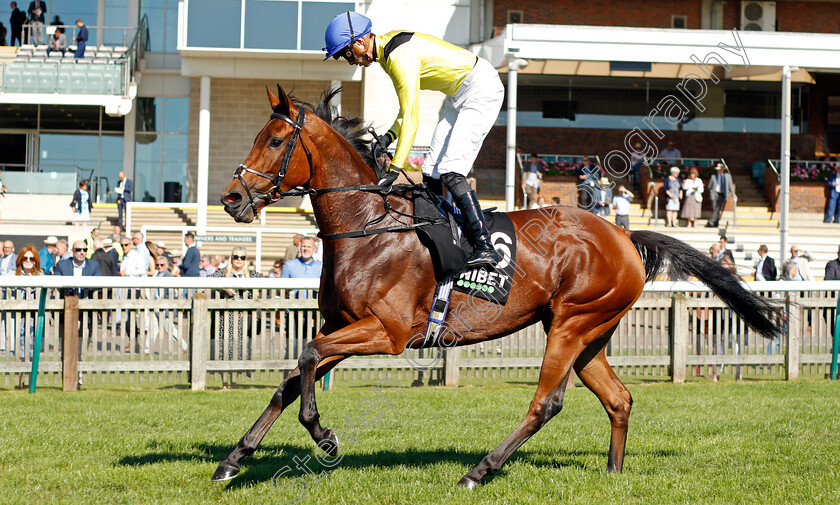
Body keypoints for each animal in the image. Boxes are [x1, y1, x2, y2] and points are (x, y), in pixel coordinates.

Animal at [215, 86, 776, 488]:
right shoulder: (347, 325)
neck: (369, 226)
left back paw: (478, 471)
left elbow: (307, 356)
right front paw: (233, 459)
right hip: (591, 334)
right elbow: (292, 378)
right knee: (618, 399)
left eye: (275, 140)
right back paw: (613, 473)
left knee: (546, 403)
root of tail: (623, 233)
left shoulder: (387, 332)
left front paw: (325, 437)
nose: (231, 198)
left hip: (572, 324)